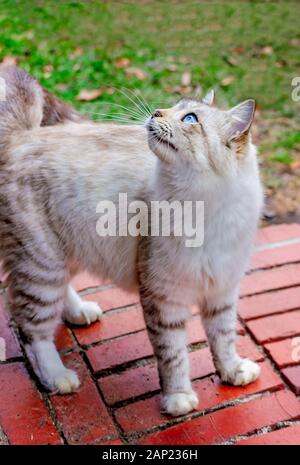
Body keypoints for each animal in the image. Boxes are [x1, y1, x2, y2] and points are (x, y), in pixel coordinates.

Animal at [0, 64, 262, 414]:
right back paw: (58, 377)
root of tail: (21, 135)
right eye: (172, 107)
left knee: (57, 299)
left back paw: (79, 313)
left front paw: (232, 373)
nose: (155, 112)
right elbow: (173, 355)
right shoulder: (164, 298)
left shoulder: (222, 291)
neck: (205, 207)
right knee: (31, 330)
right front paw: (178, 399)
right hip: (42, 264)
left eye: (190, 118)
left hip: (64, 254)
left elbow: (224, 341)